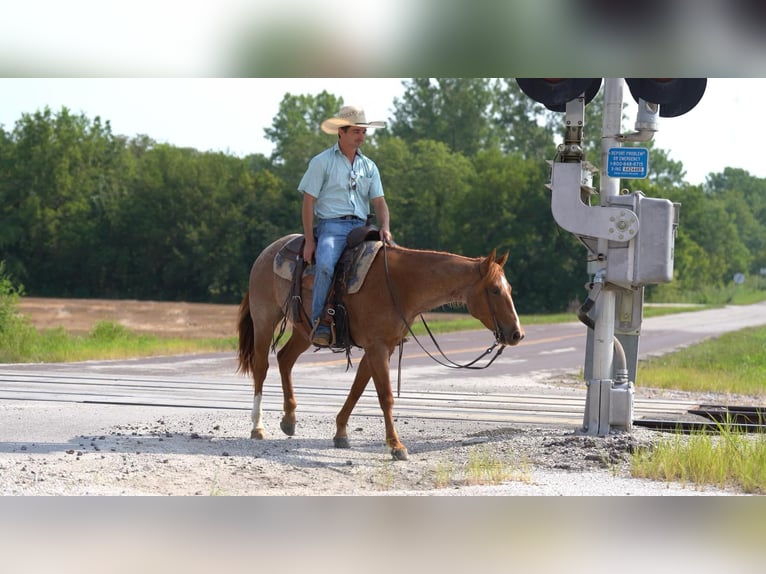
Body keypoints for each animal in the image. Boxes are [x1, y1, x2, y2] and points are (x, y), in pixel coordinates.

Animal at [236, 233, 525, 460]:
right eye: (495, 290)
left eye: (510, 288)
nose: (516, 334)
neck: (401, 284)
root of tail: (268, 252)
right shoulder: (377, 348)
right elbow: (385, 396)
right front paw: (396, 446)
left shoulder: (382, 347)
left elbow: (357, 389)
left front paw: (341, 433)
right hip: (264, 319)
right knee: (262, 367)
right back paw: (257, 427)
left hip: (304, 330)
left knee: (285, 359)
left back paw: (289, 420)